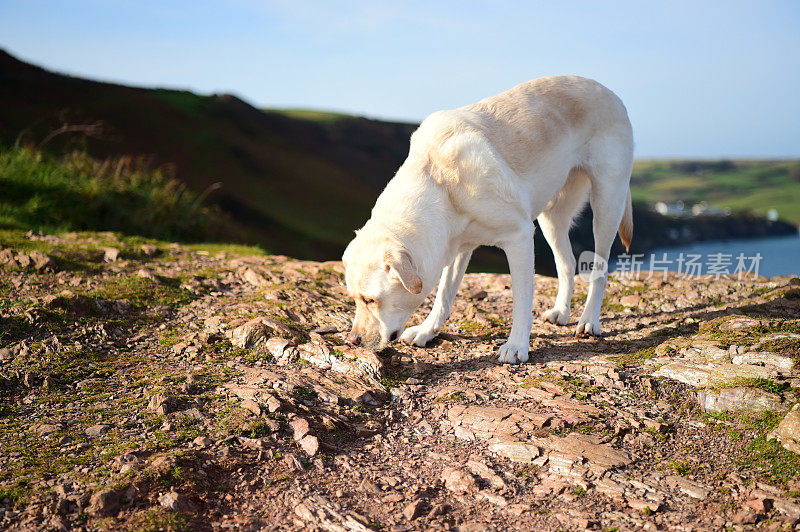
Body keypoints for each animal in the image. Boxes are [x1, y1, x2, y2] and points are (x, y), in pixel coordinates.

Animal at [340, 75, 636, 364]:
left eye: (370, 300)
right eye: (354, 298)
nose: (353, 341)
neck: (439, 179)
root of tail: (609, 92)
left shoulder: (519, 236)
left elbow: (521, 301)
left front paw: (516, 346)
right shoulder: (457, 247)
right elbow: (444, 294)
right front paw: (427, 330)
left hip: (607, 203)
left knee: (600, 269)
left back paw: (589, 321)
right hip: (552, 217)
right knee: (567, 263)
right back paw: (561, 311)